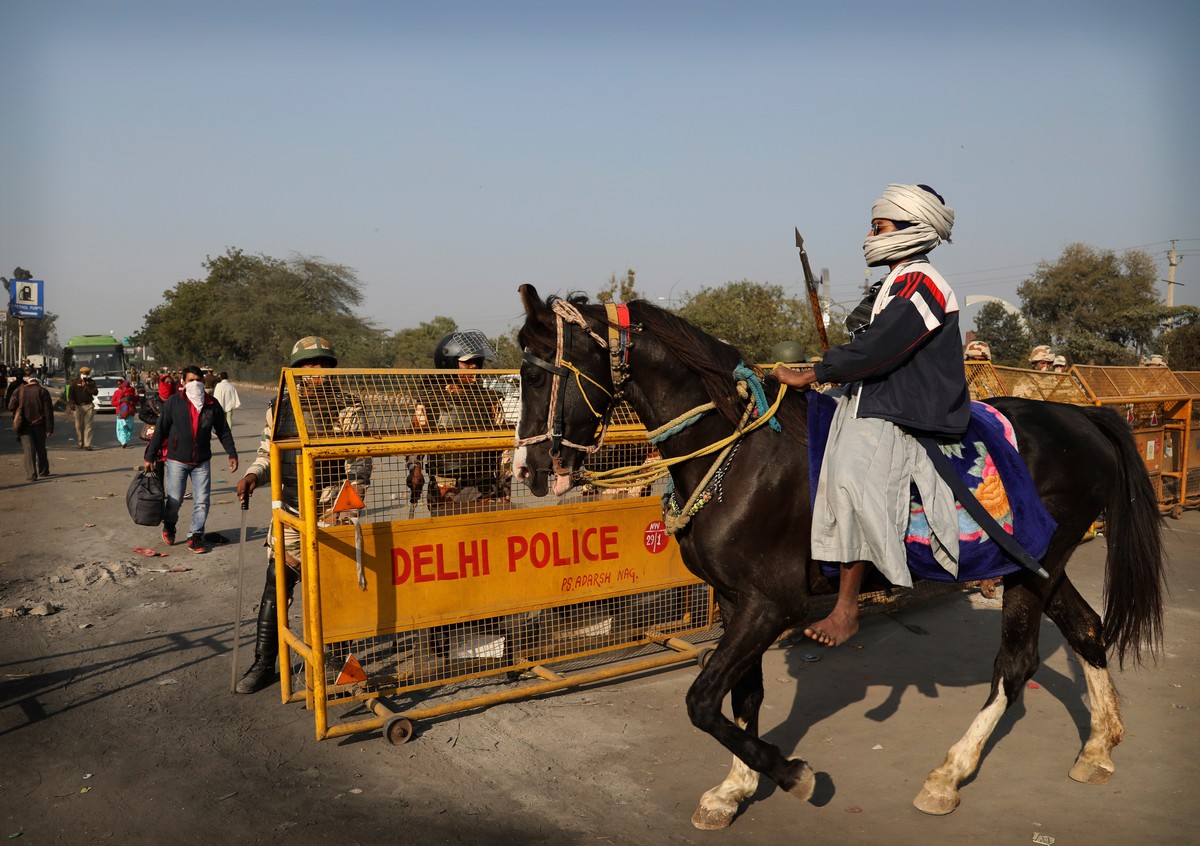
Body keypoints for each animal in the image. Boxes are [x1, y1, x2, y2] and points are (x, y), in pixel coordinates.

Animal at [513, 286, 1161, 830]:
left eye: (538, 374)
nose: (528, 469)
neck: (741, 456)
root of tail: (1082, 416)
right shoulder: (734, 601)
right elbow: (741, 696)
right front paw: (735, 789)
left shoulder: (771, 606)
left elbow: (701, 700)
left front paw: (790, 773)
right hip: (1043, 564)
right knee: (1087, 628)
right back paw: (1098, 746)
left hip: (1028, 570)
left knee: (1017, 663)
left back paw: (949, 774)